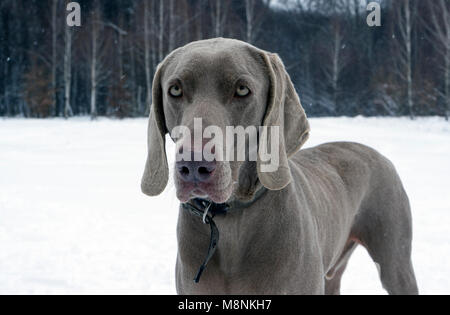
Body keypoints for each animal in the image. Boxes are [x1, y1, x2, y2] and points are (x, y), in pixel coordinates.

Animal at [141, 38, 418, 296]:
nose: (194, 164)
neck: (232, 220)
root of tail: (377, 152)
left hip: (395, 258)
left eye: (242, 89)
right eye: (175, 90)